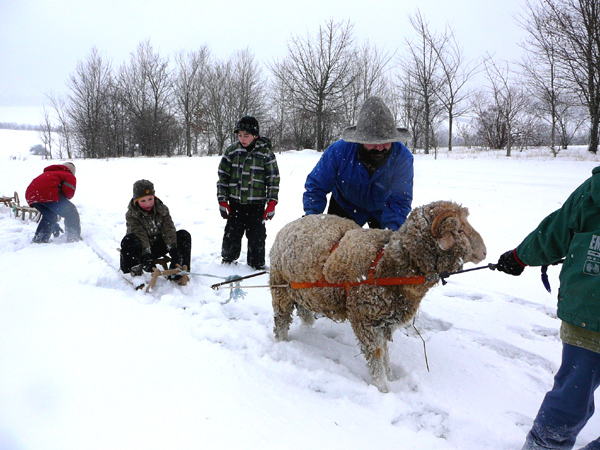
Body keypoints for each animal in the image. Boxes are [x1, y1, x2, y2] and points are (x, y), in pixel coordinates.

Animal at [270, 202, 486, 392]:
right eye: (460, 230)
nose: (484, 252)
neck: (388, 264)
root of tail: (287, 227)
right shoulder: (365, 320)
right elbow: (376, 356)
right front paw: (382, 388)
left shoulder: (383, 322)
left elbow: (385, 354)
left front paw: (390, 377)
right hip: (281, 290)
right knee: (281, 322)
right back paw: (282, 344)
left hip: (302, 292)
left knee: (304, 313)